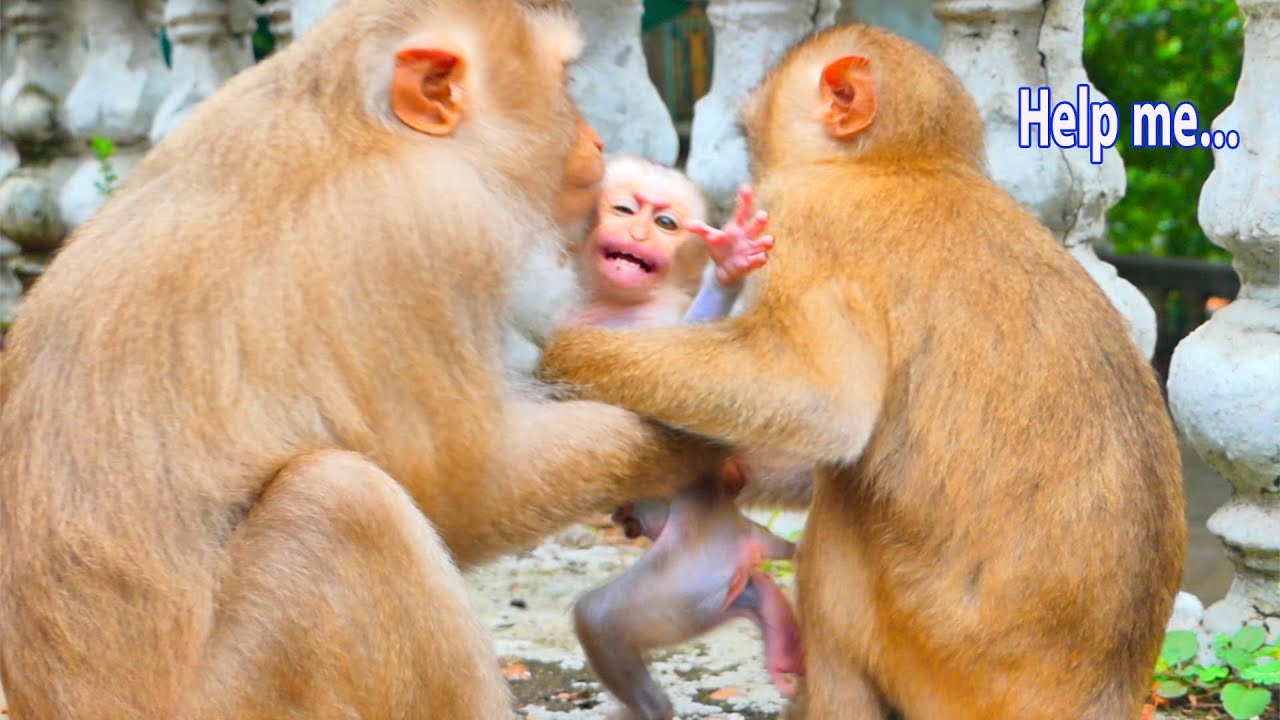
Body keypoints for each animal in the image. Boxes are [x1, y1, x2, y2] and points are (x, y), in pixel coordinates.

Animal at [0, 2, 727, 718]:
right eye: (567, 84)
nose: (597, 141)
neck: (358, 119)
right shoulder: (430, 227)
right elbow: (467, 489)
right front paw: (689, 447)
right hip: (242, 698)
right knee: (343, 502)